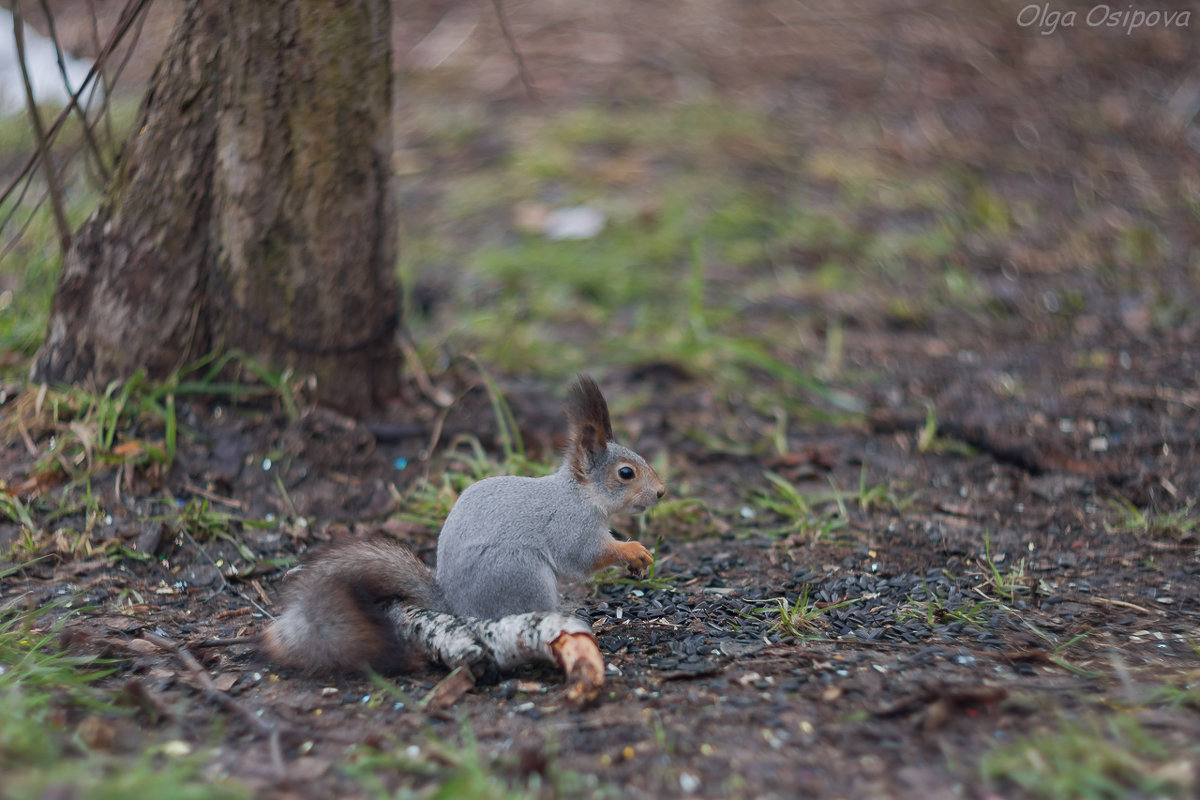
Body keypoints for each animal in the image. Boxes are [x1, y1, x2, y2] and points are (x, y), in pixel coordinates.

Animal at [261, 376, 667, 676]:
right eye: (626, 473)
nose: (662, 492)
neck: (582, 494)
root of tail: (454, 602)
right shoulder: (571, 526)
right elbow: (584, 557)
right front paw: (633, 550)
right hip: (521, 573)